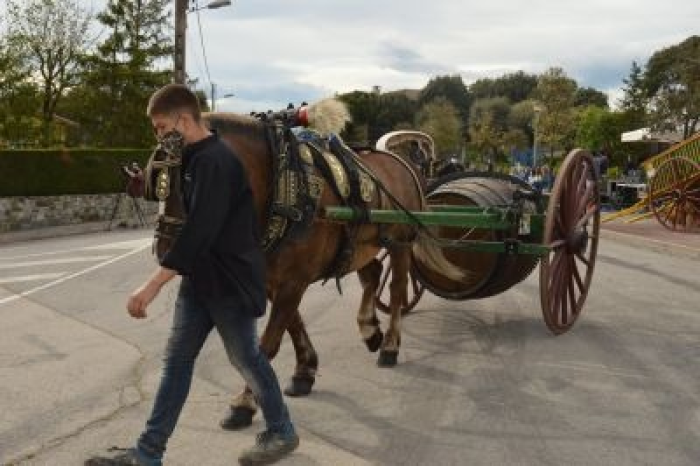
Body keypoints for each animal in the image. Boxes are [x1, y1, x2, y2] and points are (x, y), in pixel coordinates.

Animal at [145, 101, 462, 426]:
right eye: (156, 183)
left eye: (188, 178)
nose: (165, 251)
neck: (282, 182)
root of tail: (404, 164)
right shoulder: (275, 280)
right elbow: (293, 324)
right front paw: (305, 370)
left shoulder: (292, 281)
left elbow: (268, 344)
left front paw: (245, 402)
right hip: (362, 244)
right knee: (372, 274)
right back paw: (369, 328)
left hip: (400, 244)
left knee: (397, 289)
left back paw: (389, 345)